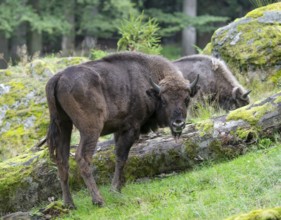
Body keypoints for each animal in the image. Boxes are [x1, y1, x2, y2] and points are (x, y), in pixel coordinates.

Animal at [45, 51, 197, 208]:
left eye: (186, 99)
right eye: (164, 100)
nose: (178, 124)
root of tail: (59, 76)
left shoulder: (118, 130)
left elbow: (119, 157)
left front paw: (118, 187)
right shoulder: (130, 128)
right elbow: (121, 157)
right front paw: (114, 189)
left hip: (64, 125)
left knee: (62, 160)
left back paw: (70, 204)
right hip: (90, 130)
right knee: (82, 157)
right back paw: (98, 200)